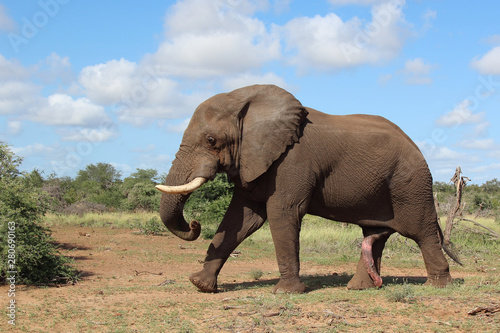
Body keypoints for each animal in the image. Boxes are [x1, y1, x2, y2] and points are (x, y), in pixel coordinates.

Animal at [156, 84, 458, 292]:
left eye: (211, 140)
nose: (194, 224)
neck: (244, 100)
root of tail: (417, 147)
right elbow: (240, 220)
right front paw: (200, 285)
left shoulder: (292, 161)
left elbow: (281, 213)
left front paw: (285, 292)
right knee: (375, 235)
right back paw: (359, 288)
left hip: (411, 184)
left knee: (421, 232)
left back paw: (438, 285)